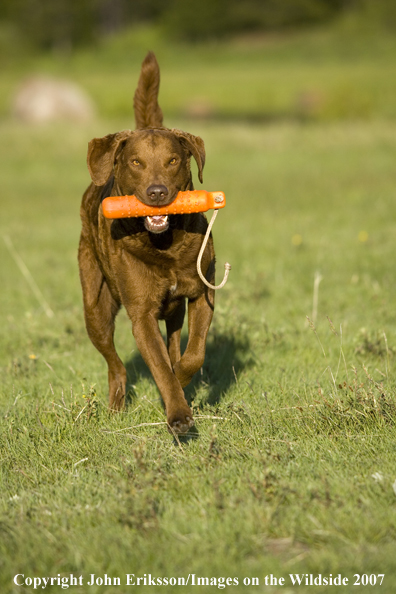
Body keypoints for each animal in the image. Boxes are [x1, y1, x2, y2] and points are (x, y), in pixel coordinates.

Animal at [79, 52, 215, 430]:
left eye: (173, 160)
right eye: (137, 162)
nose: (157, 193)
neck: (165, 244)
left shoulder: (202, 293)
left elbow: (192, 354)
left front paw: (182, 382)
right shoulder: (141, 315)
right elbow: (160, 369)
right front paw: (179, 414)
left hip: (173, 310)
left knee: (174, 342)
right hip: (95, 307)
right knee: (115, 364)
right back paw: (114, 407)